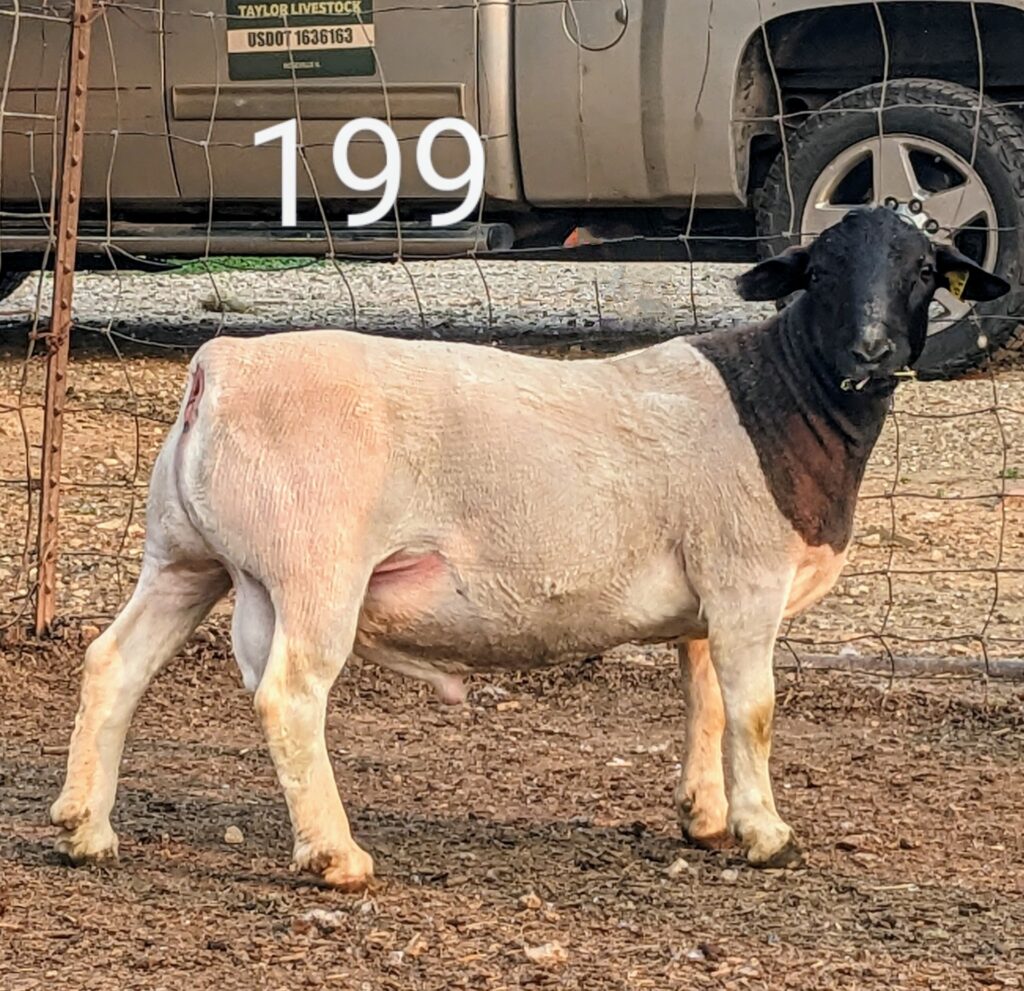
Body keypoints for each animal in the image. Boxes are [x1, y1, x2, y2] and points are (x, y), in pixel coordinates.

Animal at [50, 206, 1009, 889]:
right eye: (822, 270)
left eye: (925, 270)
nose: (873, 350)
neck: (787, 394)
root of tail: (220, 367)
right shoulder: (746, 580)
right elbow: (753, 710)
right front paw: (767, 834)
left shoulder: (708, 596)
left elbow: (702, 701)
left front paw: (704, 818)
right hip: (315, 564)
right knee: (289, 694)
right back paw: (336, 858)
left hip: (187, 557)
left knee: (113, 661)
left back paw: (85, 829)